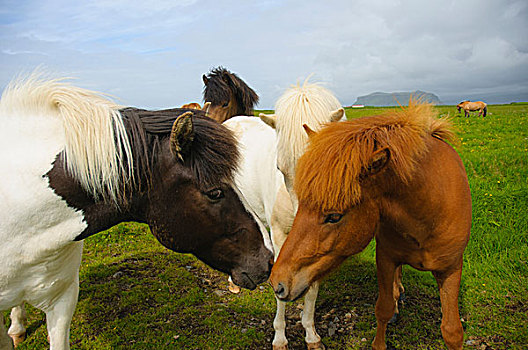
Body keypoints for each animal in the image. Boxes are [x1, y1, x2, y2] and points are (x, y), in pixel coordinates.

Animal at [258, 80, 348, 350]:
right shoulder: (280, 236)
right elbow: (279, 288)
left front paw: (311, 333)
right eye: (280, 168)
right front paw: (279, 337)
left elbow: (312, 288)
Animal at [270, 100, 472, 350]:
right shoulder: (385, 258)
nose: (277, 283)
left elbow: (452, 330)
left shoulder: (451, 268)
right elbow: (383, 309)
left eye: (334, 216)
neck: (428, 214)